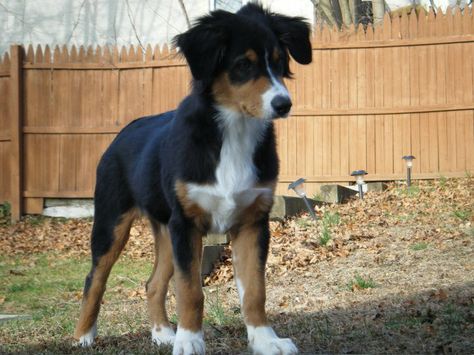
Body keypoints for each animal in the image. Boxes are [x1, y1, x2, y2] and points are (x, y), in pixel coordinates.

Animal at [73, 3, 312, 355]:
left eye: (280, 61)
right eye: (243, 65)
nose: (283, 104)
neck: (233, 133)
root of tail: (125, 130)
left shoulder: (252, 222)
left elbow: (255, 291)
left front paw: (265, 340)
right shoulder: (186, 225)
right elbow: (190, 291)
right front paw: (189, 340)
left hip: (164, 229)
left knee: (153, 283)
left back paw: (162, 332)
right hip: (111, 223)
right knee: (95, 279)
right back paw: (84, 335)